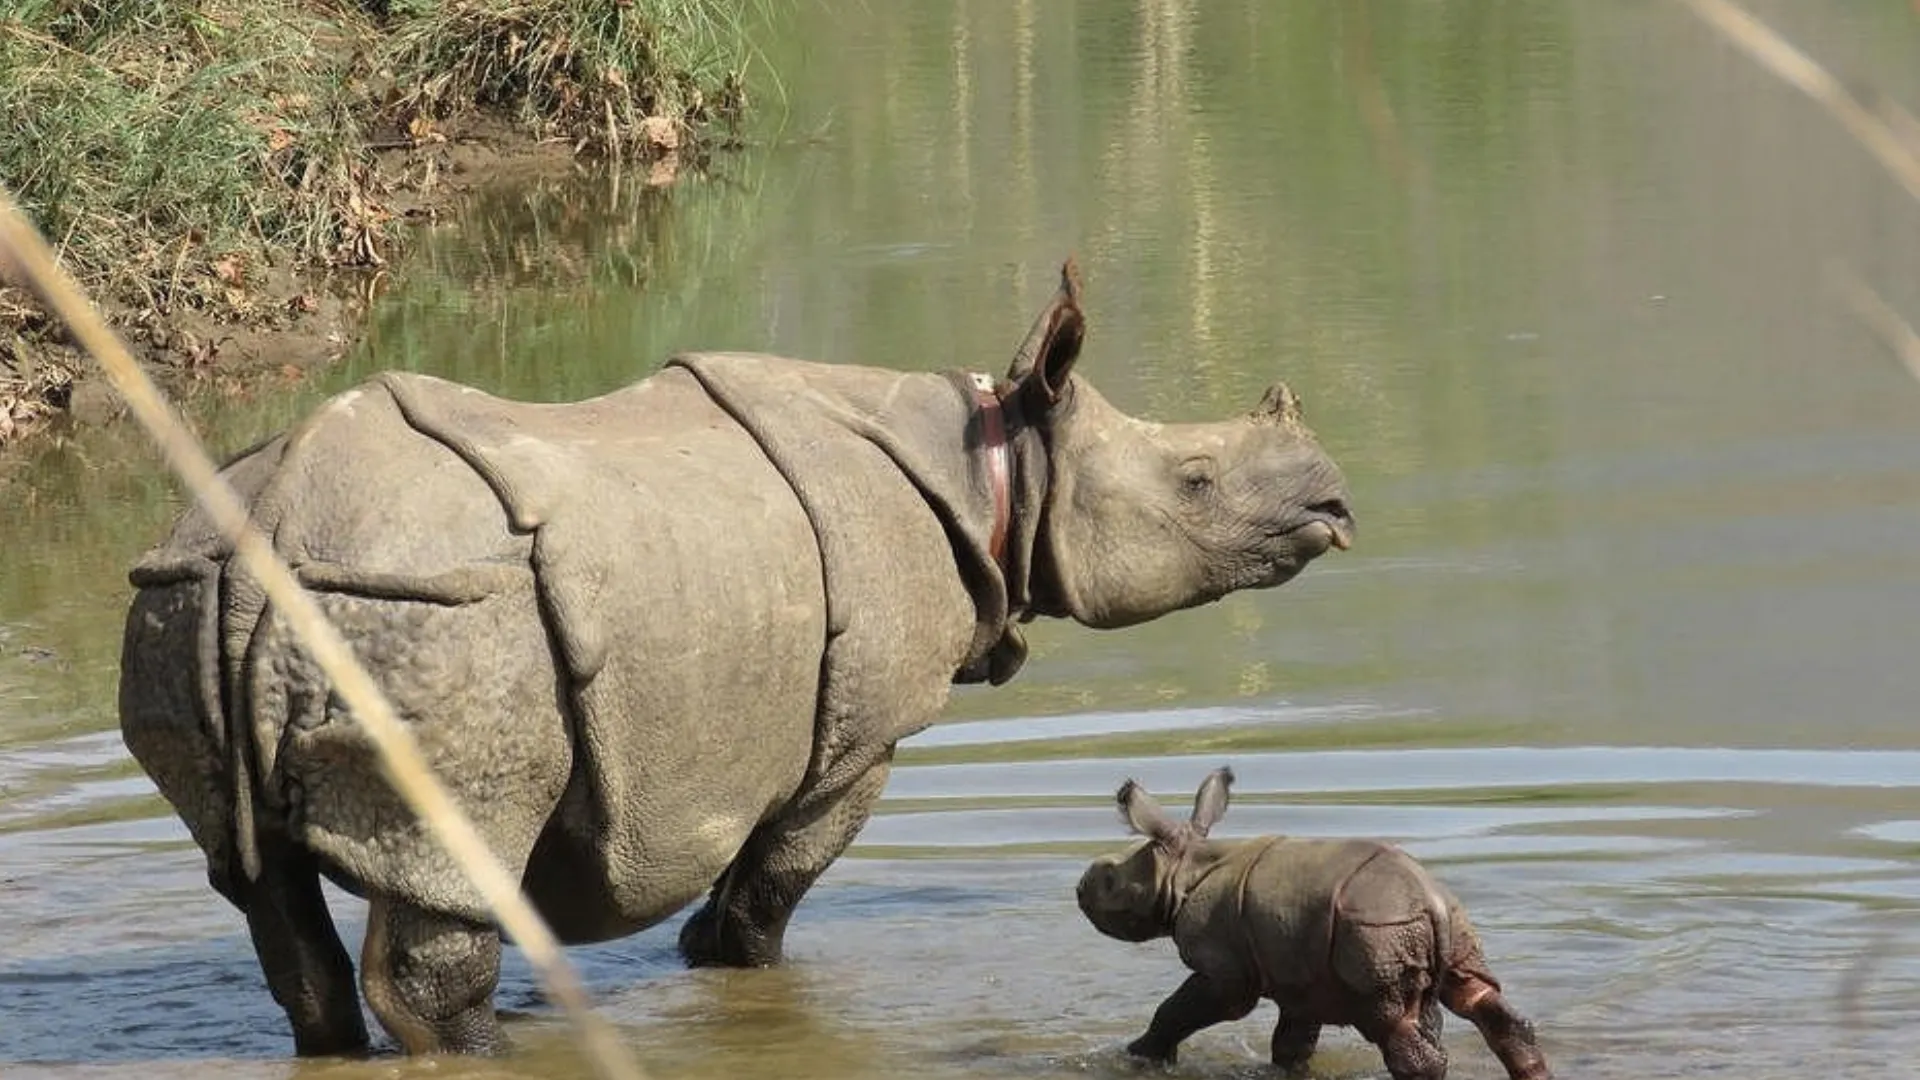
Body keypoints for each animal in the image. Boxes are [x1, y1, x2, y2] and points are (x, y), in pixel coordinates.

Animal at [117, 259, 1355, 1057]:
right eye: (1196, 483)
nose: (1336, 507)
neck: (1001, 464)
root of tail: (275, 521)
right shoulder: (856, 741)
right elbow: (768, 894)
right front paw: (744, 979)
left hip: (190, 595)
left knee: (261, 888)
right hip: (435, 614)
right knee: (448, 866)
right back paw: (489, 1046)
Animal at [1076, 767, 1553, 1080]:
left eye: (1109, 879)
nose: (1079, 888)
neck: (1184, 870)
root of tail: (1432, 902)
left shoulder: (1225, 969)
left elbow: (1178, 1010)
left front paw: (1140, 1057)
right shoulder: (1300, 972)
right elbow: (1292, 1042)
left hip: (1377, 930)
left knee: (1391, 1026)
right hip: (1443, 923)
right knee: (1480, 999)